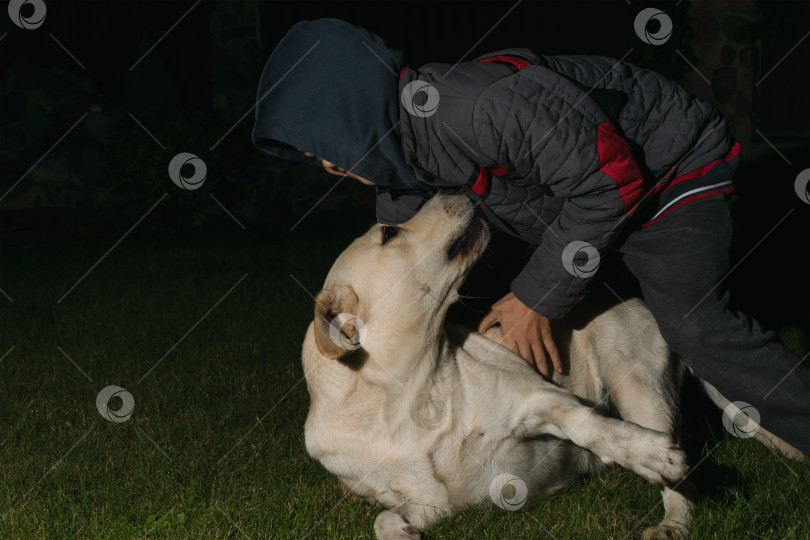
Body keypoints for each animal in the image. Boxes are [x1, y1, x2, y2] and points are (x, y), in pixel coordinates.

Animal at [302, 196, 688, 536]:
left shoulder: (540, 398)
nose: (447, 188)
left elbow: (586, 424)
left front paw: (648, 455)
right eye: (388, 233)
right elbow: (383, 518)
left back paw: (672, 523)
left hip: (637, 384)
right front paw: (400, 533)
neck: (411, 393)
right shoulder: (433, 505)